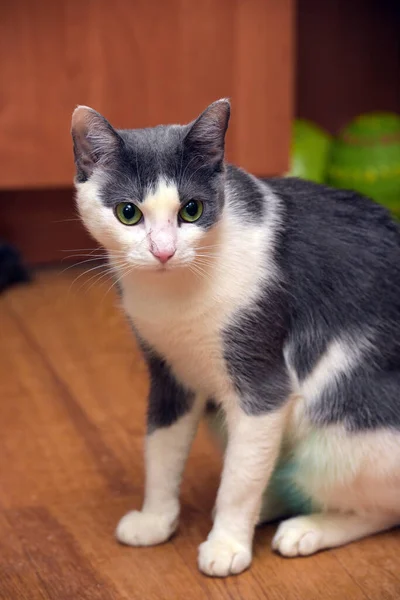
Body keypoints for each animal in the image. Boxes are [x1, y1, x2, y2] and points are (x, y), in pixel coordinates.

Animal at [71, 101, 400, 580]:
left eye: (191, 210)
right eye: (128, 212)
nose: (164, 251)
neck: (175, 295)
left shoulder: (263, 384)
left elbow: (239, 481)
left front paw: (228, 545)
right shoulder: (170, 375)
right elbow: (162, 451)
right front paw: (155, 519)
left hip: (351, 432)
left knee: (378, 507)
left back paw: (307, 528)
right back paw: (273, 503)